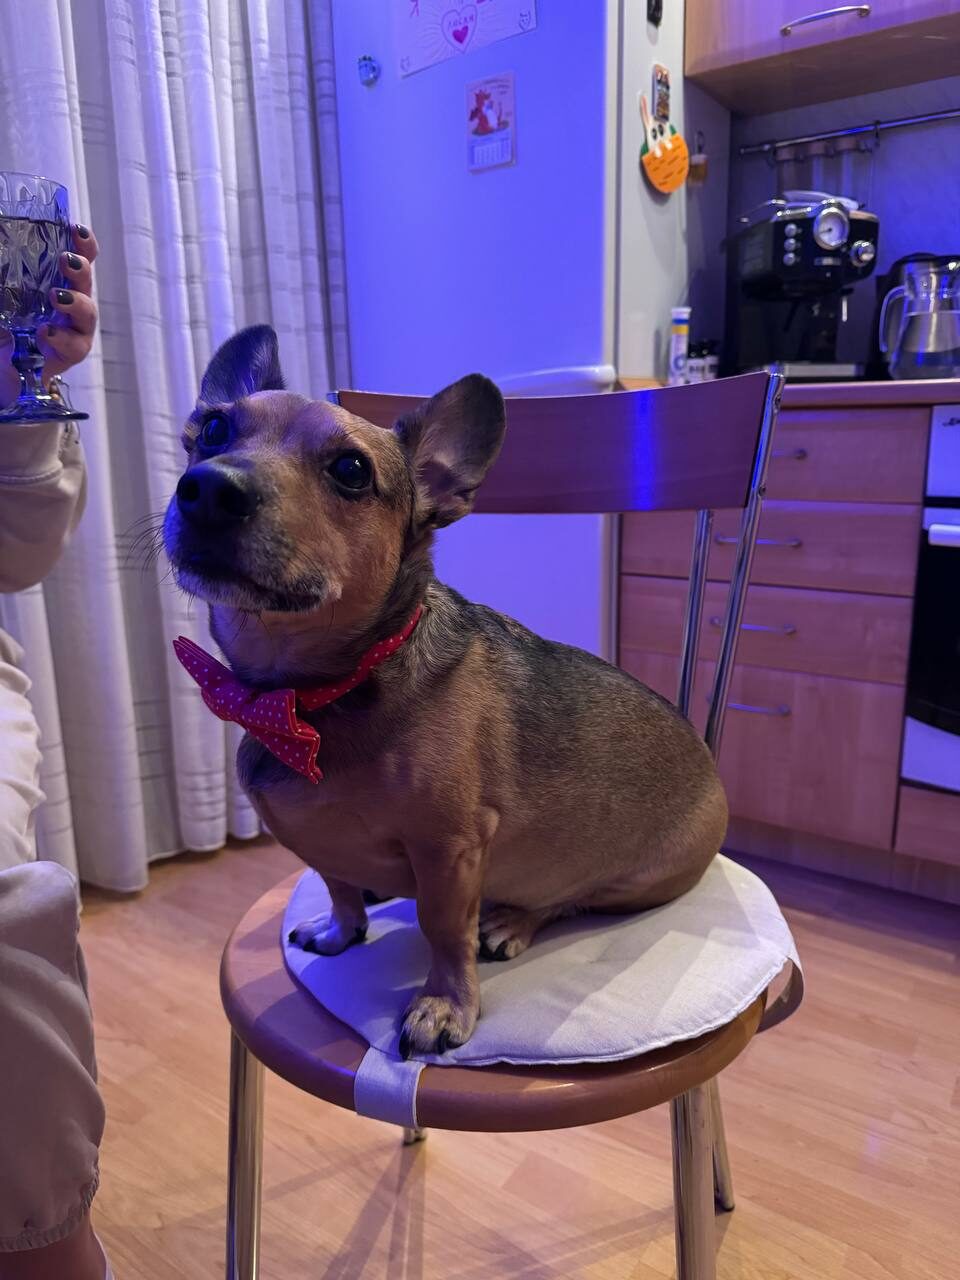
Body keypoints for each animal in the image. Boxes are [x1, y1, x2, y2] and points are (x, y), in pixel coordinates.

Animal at [164, 325, 727, 1057]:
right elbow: (337, 885)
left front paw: (445, 1005)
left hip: (630, 883)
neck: (311, 696)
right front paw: (342, 928)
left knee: (566, 897)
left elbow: (443, 929)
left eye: (351, 470)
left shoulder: (450, 851)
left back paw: (512, 921)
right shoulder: (313, 841)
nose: (208, 489)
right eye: (212, 429)